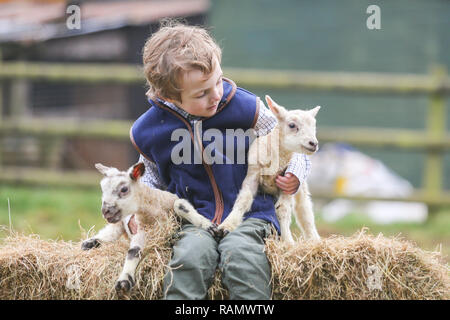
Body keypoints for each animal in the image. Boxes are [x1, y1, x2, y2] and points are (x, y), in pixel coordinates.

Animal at [81, 162, 215, 292]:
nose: (105, 211)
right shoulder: (140, 230)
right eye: (103, 189)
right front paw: (124, 280)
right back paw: (89, 243)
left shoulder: (174, 202)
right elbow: (133, 251)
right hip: (119, 224)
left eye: (124, 189)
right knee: (109, 234)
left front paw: (209, 226)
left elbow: (180, 205)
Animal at [217, 95, 320, 242]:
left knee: (305, 212)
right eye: (292, 125)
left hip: (300, 187)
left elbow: (283, 209)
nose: (313, 143)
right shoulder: (252, 174)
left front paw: (288, 242)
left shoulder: (287, 182)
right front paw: (227, 225)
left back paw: (314, 241)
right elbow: (243, 200)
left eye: (313, 126)